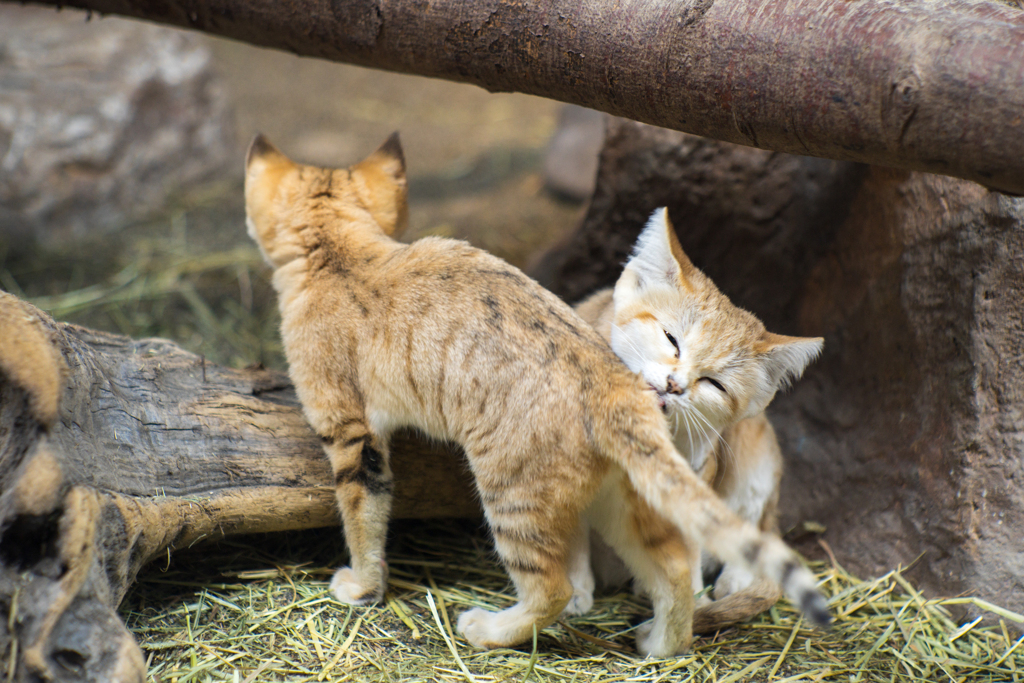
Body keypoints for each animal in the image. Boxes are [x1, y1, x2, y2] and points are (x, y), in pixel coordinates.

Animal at [577, 208, 823, 634]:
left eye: (714, 384)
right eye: (671, 339)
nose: (674, 385)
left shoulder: (695, 476)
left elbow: (692, 543)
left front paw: (688, 605)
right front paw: (574, 588)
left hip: (756, 456)